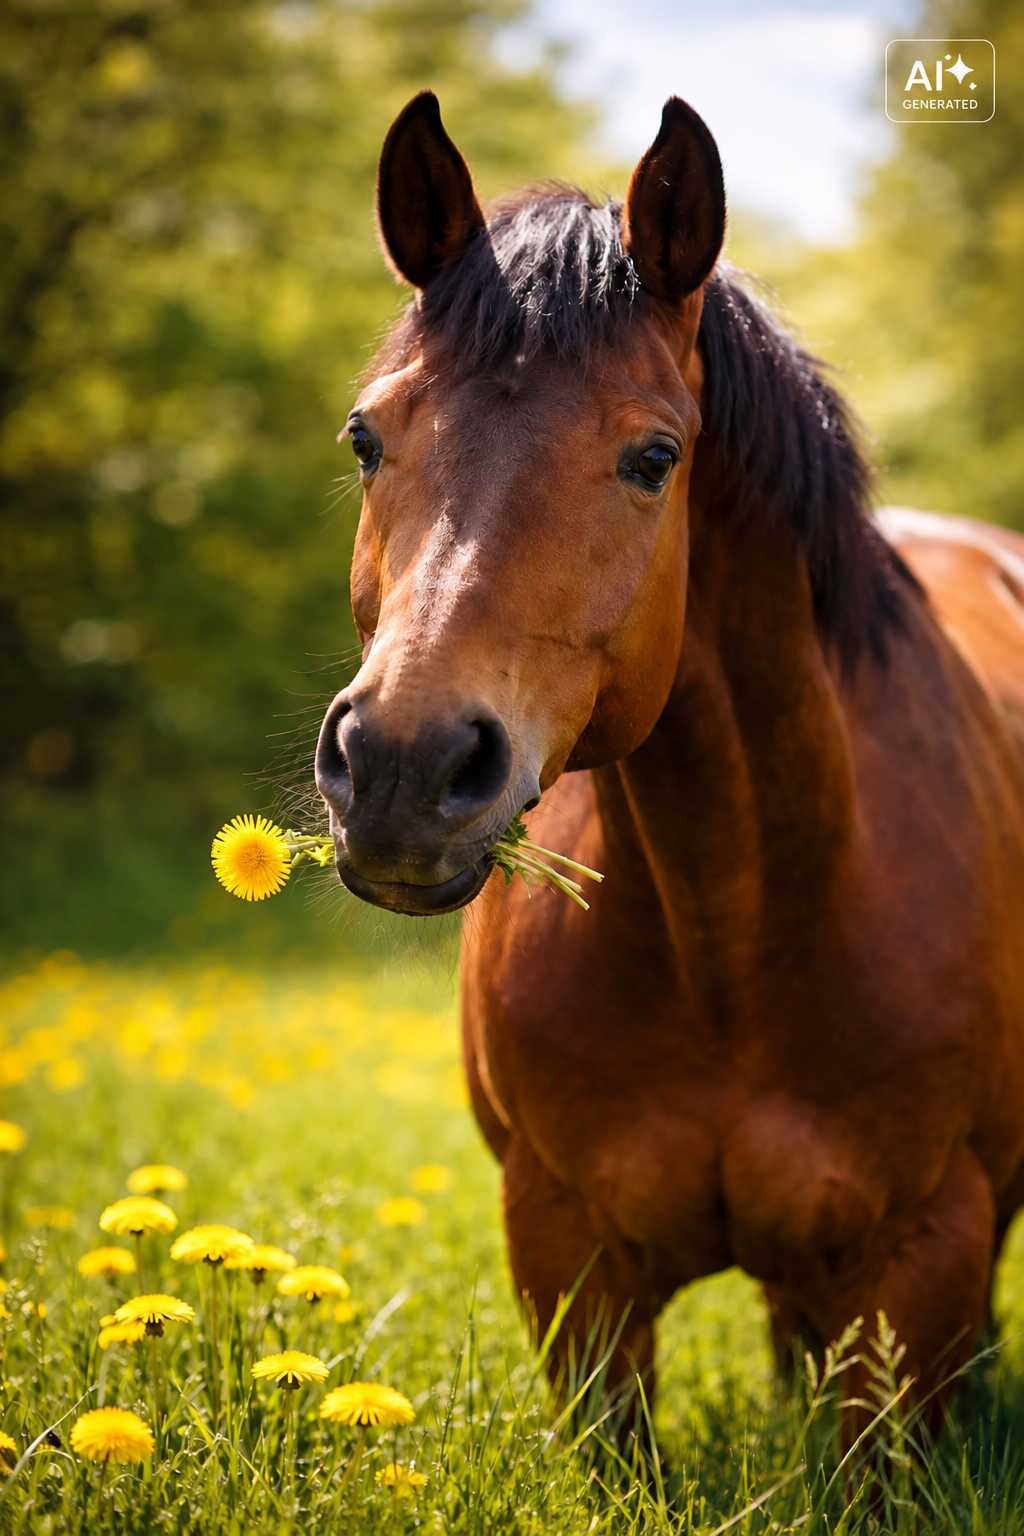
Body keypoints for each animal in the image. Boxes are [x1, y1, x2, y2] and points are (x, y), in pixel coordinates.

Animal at [314, 91, 1024, 1441]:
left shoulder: (921, 1266)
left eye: (653, 458)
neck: (736, 939)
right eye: (368, 437)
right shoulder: (568, 1258)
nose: (401, 765)